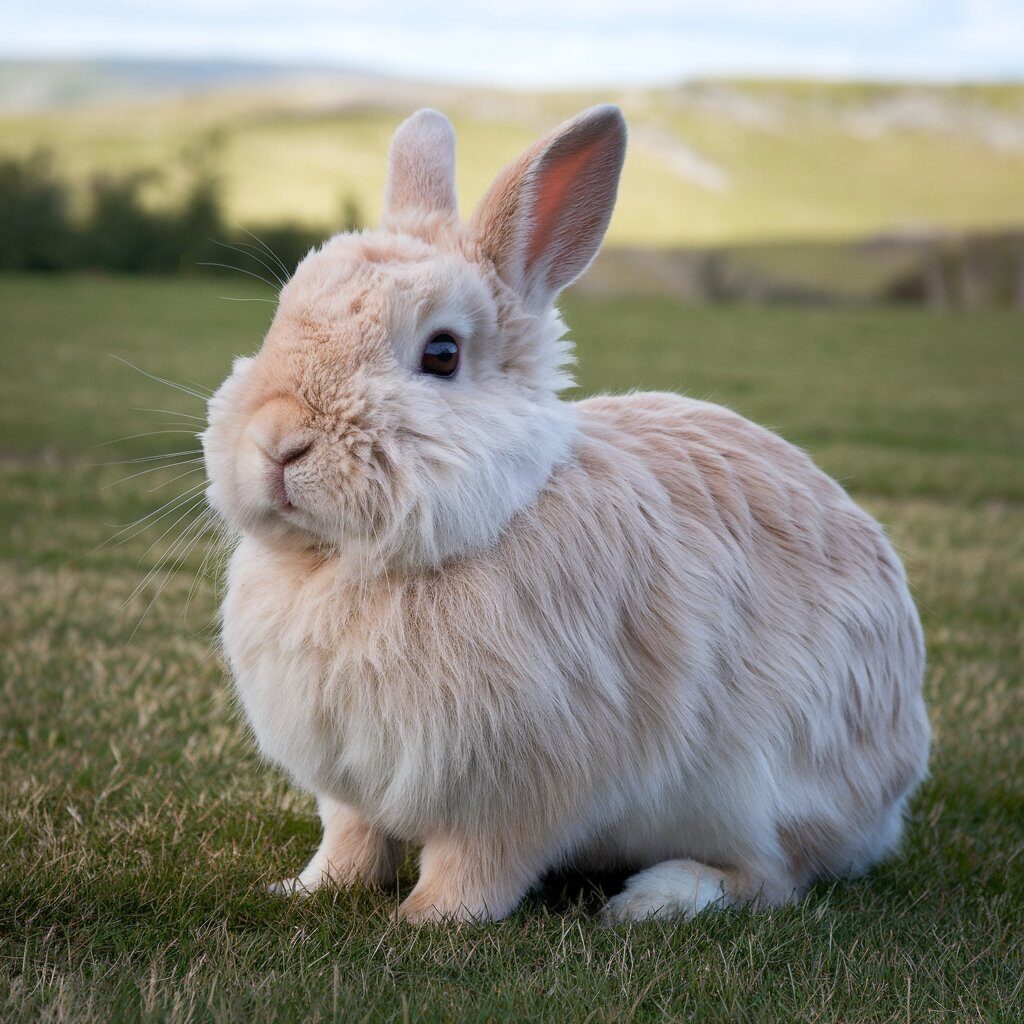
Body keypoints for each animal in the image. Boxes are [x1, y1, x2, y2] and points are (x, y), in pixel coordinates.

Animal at [199, 108, 929, 925]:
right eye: (281, 316)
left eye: (442, 353)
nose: (278, 444)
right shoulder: (351, 783)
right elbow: (351, 841)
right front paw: (307, 889)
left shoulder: (515, 788)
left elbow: (476, 866)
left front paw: (426, 919)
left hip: (761, 791)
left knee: (776, 877)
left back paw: (654, 899)